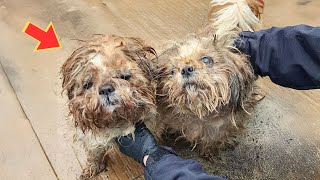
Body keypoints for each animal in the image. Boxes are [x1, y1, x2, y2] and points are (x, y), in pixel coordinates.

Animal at [60, 34, 157, 179]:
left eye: (124, 76)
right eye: (88, 84)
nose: (105, 89)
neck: (115, 121)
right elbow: (95, 151)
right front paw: (92, 167)